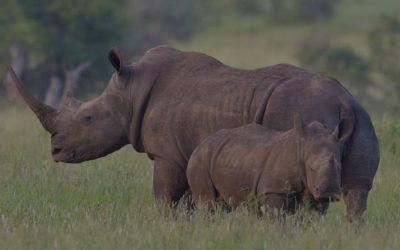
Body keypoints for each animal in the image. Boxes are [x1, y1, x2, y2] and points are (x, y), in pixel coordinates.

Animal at [186, 117, 348, 215]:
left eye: (340, 168)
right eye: (311, 169)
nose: (329, 192)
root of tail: (200, 144)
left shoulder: (313, 191)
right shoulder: (273, 188)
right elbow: (276, 216)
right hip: (199, 160)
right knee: (209, 204)